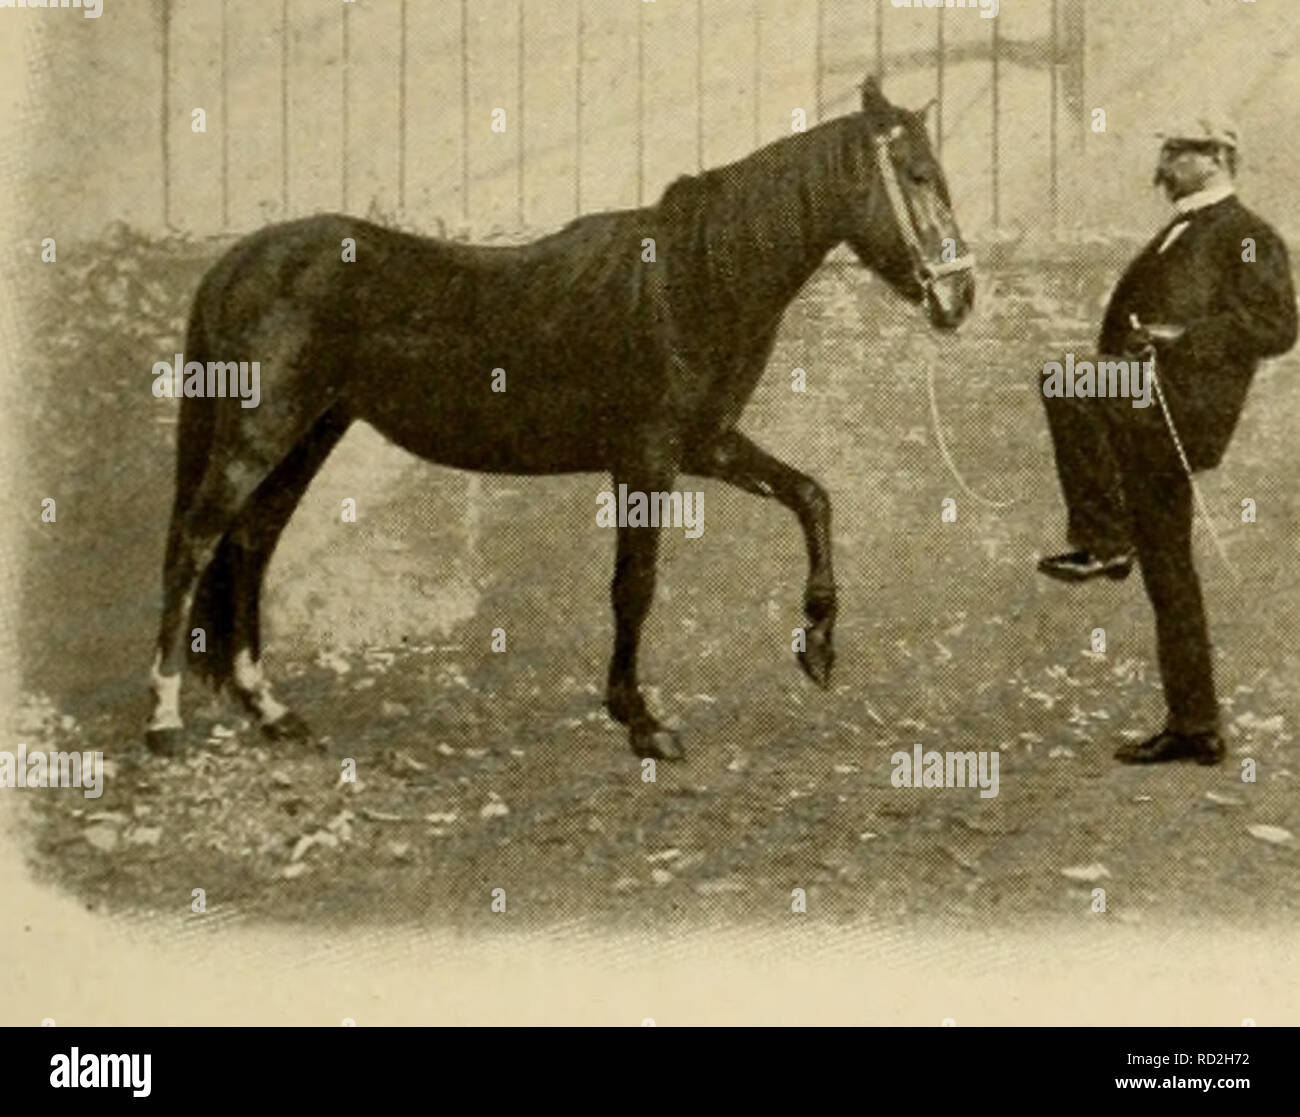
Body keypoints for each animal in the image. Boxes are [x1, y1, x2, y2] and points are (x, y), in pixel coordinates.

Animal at [144, 76, 977, 759]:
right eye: (917, 176)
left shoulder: (706, 445)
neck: (686, 283)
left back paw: (272, 711)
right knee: (194, 542)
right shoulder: (647, 459)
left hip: (309, 433)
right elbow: (635, 585)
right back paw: (163, 722)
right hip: (262, 432)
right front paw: (641, 721)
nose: (959, 296)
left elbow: (811, 495)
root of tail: (238, 261)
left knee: (250, 542)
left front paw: (818, 647)